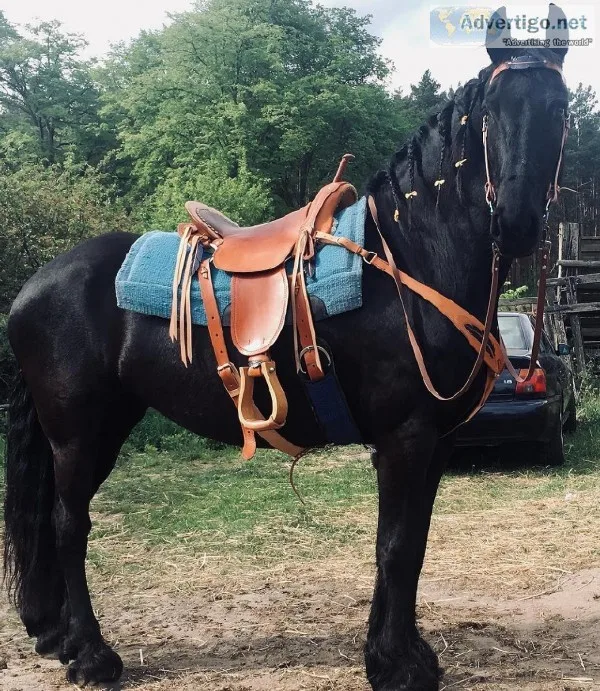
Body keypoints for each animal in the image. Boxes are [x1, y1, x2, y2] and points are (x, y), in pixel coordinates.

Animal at [3, 28, 570, 691]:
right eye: (491, 114)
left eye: (559, 107)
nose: (518, 220)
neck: (410, 258)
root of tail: (33, 288)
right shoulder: (405, 438)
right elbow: (397, 546)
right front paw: (395, 665)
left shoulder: (435, 443)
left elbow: (411, 546)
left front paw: (401, 654)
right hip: (78, 433)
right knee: (69, 526)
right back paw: (94, 657)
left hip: (100, 428)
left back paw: (60, 639)